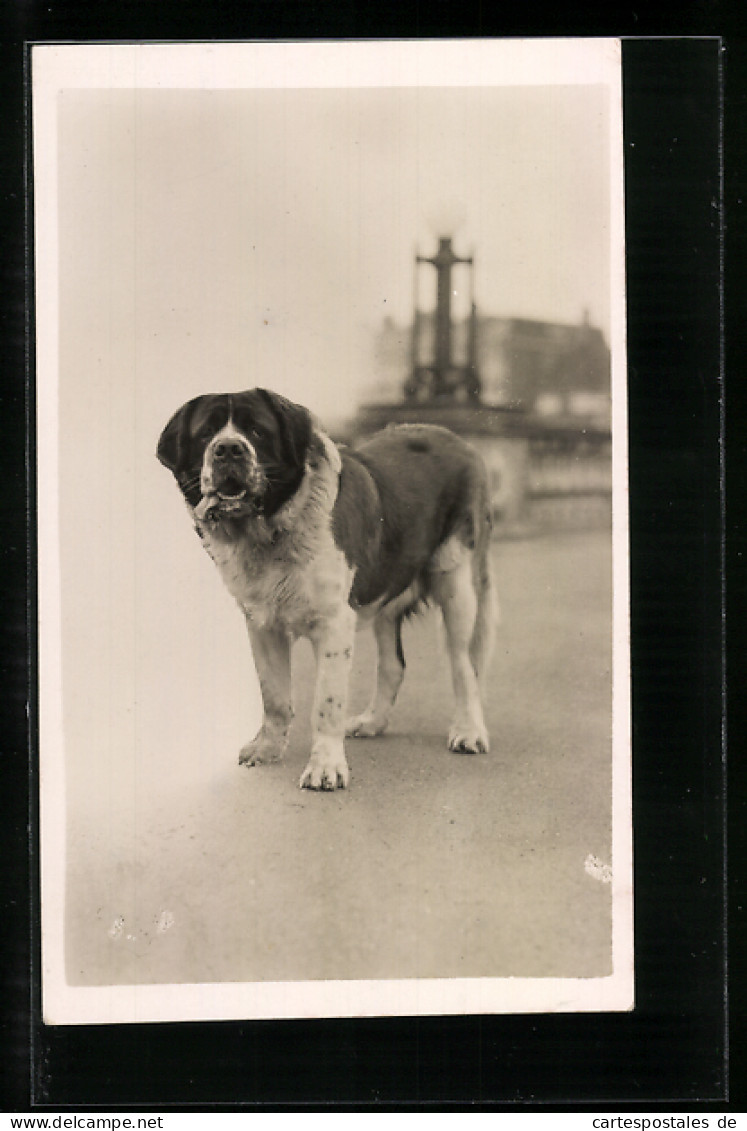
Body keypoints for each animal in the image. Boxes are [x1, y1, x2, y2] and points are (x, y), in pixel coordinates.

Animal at [157, 386, 495, 787]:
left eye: (256, 431)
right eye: (206, 433)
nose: (228, 449)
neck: (271, 530)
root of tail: (459, 441)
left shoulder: (335, 622)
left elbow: (325, 702)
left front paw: (325, 767)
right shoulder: (262, 624)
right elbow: (273, 694)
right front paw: (267, 749)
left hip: (457, 584)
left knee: (465, 665)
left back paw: (469, 731)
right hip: (385, 590)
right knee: (393, 664)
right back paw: (372, 722)